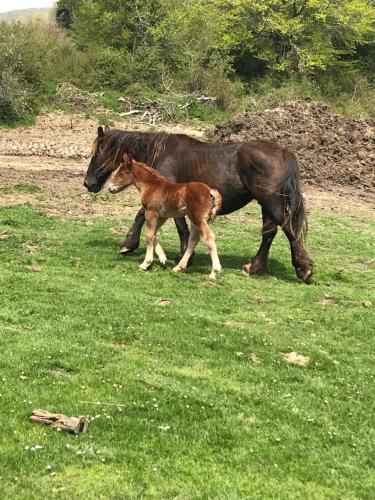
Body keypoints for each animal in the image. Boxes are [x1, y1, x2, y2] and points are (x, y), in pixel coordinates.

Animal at [84, 126, 314, 282]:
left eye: (96, 153)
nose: (88, 183)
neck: (162, 152)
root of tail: (285, 153)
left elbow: (155, 220)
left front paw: (130, 246)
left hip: (272, 202)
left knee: (289, 230)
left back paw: (304, 269)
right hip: (266, 205)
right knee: (269, 233)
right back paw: (255, 267)